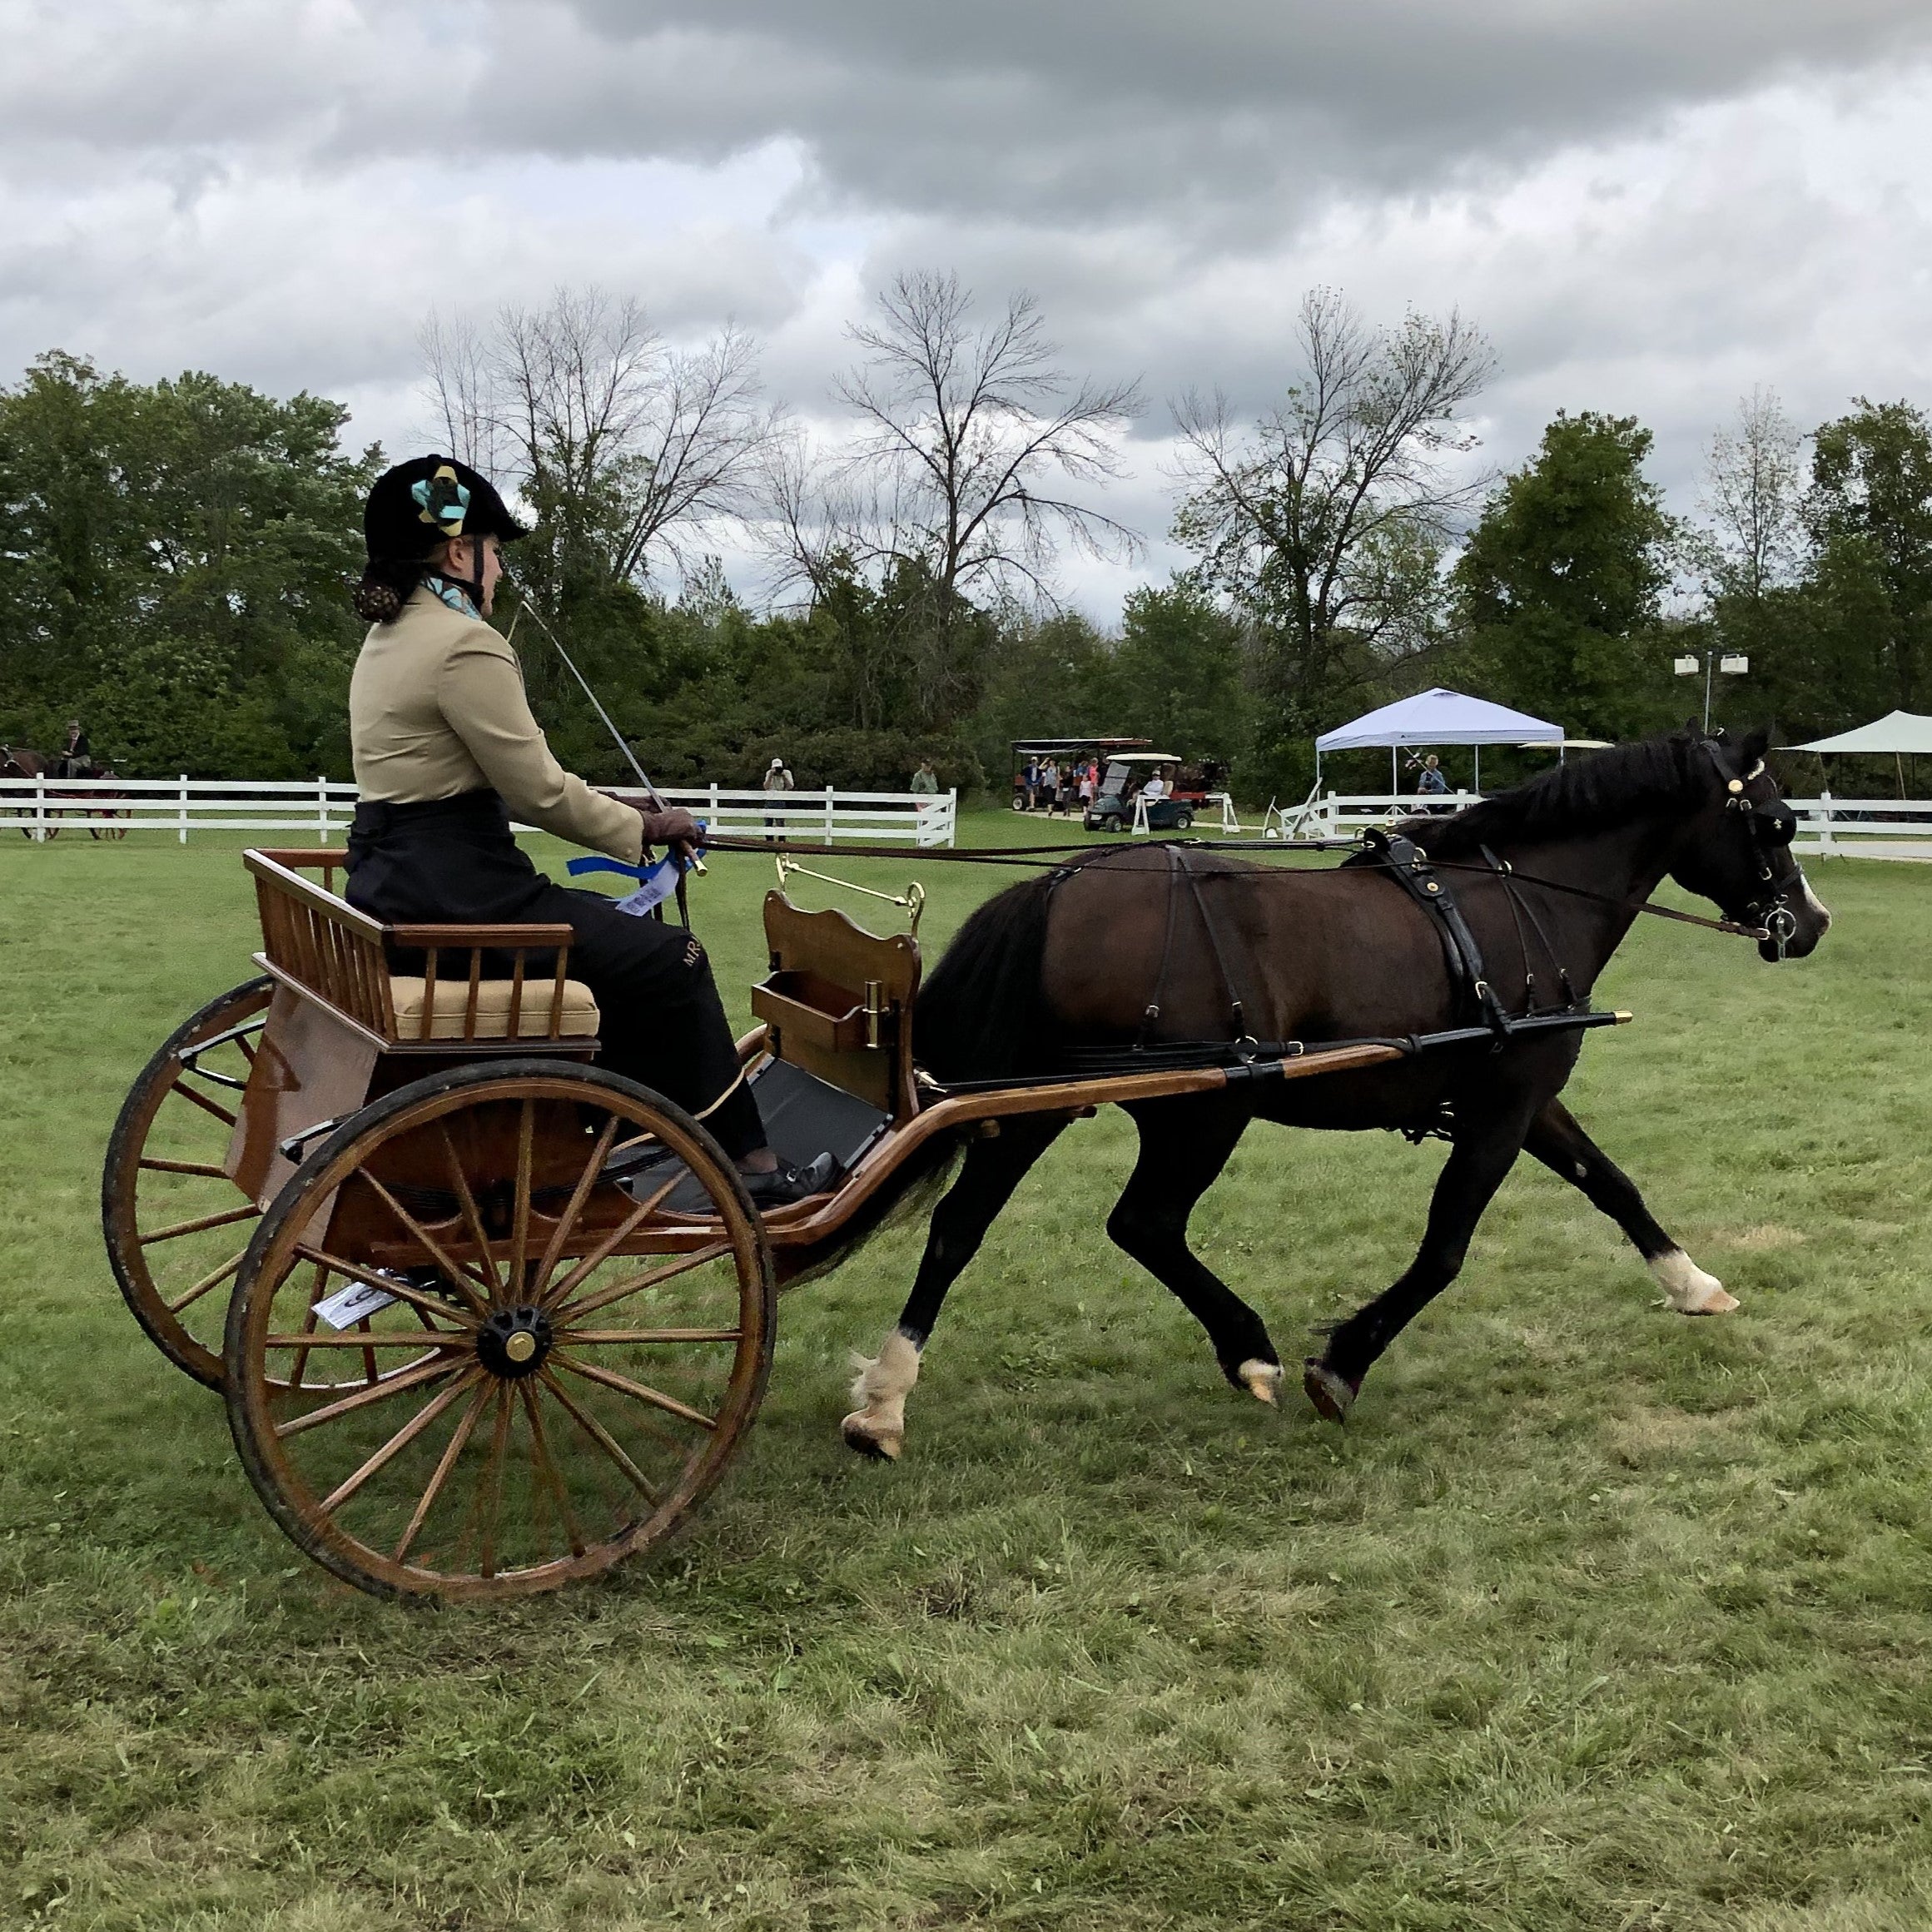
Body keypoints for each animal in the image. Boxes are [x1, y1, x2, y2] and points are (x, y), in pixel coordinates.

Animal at [842, 726, 1824, 1453]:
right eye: (1776, 824)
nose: (1809, 923)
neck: (1525, 903)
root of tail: (1063, 883)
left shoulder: (1526, 1098)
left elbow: (1612, 1185)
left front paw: (1692, 1283)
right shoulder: (1501, 1112)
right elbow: (1443, 1249)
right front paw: (1343, 1361)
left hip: (1039, 1106)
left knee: (962, 1226)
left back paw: (887, 1394)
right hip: (1201, 1112)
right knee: (1143, 1223)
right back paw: (1248, 1352)